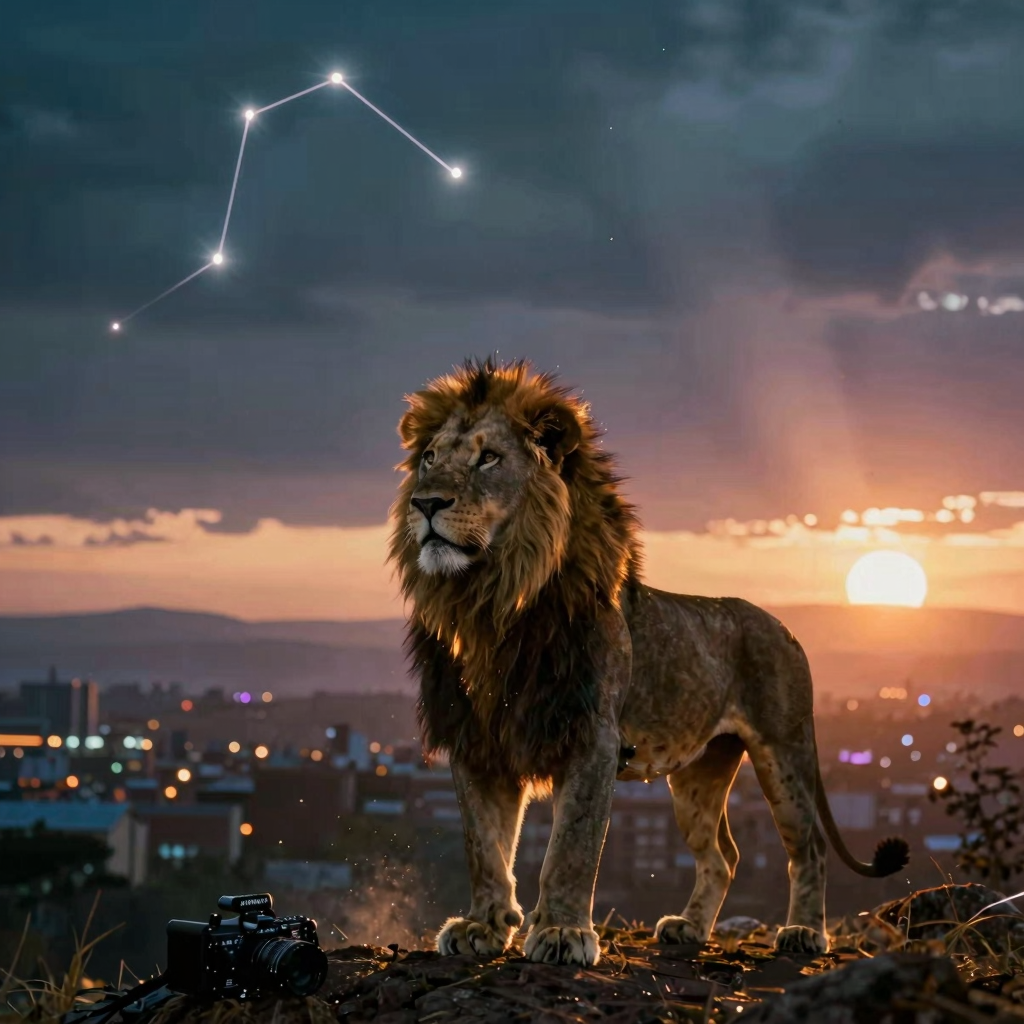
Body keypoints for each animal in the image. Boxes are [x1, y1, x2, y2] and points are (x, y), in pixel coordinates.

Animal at [387, 357, 908, 968]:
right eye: (429, 458)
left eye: (488, 457)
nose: (425, 503)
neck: (492, 603)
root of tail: (784, 627)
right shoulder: (478, 739)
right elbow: (484, 845)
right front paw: (482, 927)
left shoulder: (593, 735)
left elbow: (571, 846)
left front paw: (562, 932)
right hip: (699, 775)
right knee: (724, 856)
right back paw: (690, 927)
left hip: (784, 751)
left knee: (809, 847)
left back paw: (803, 932)